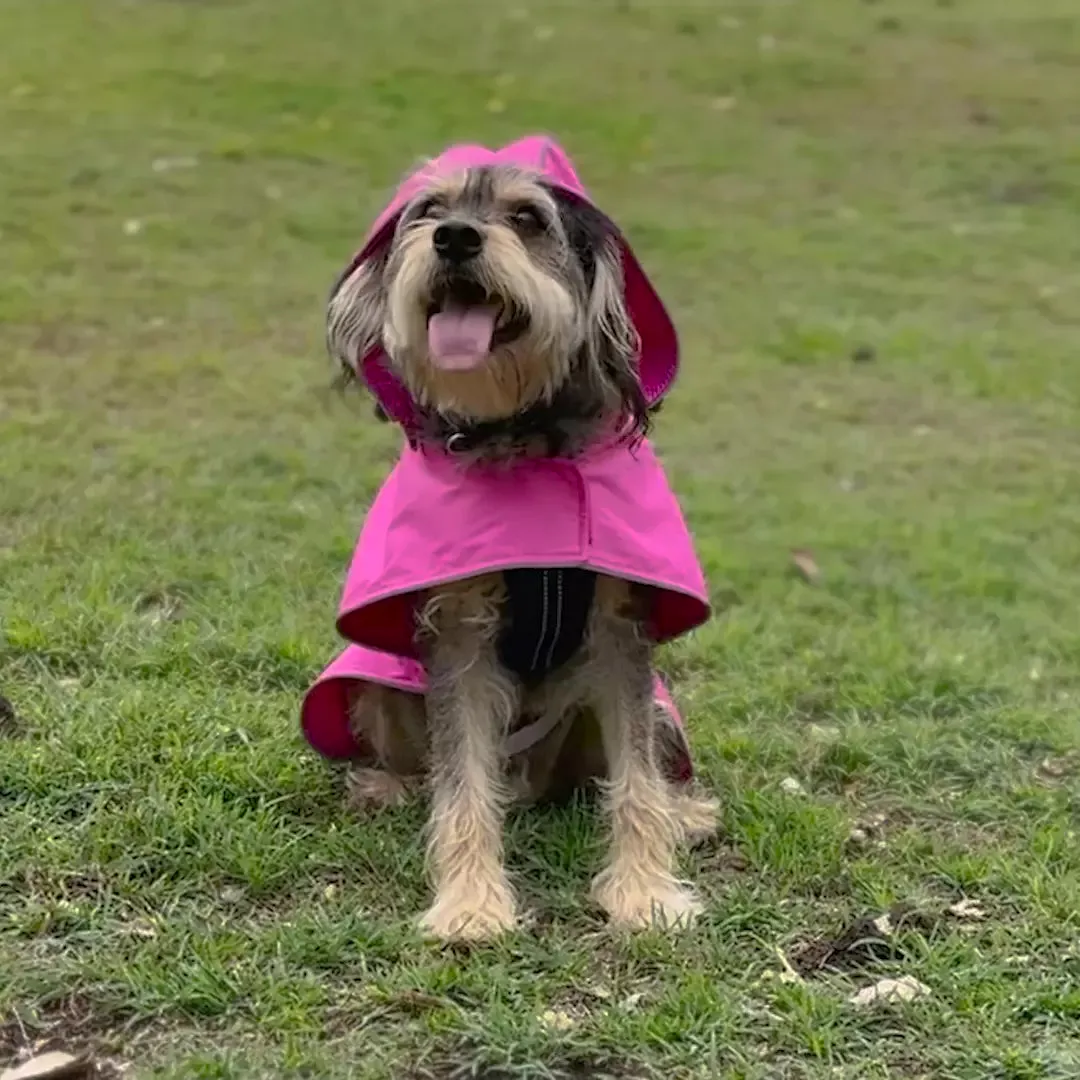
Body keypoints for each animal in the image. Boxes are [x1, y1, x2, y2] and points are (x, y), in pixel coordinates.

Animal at [302, 137, 717, 946]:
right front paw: (470, 904)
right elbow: (463, 781)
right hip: (373, 685)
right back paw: (386, 785)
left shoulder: (621, 632)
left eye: (527, 218)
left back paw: (685, 814)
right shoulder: (458, 632)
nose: (455, 238)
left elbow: (636, 780)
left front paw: (646, 892)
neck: (523, 439)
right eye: (429, 210)